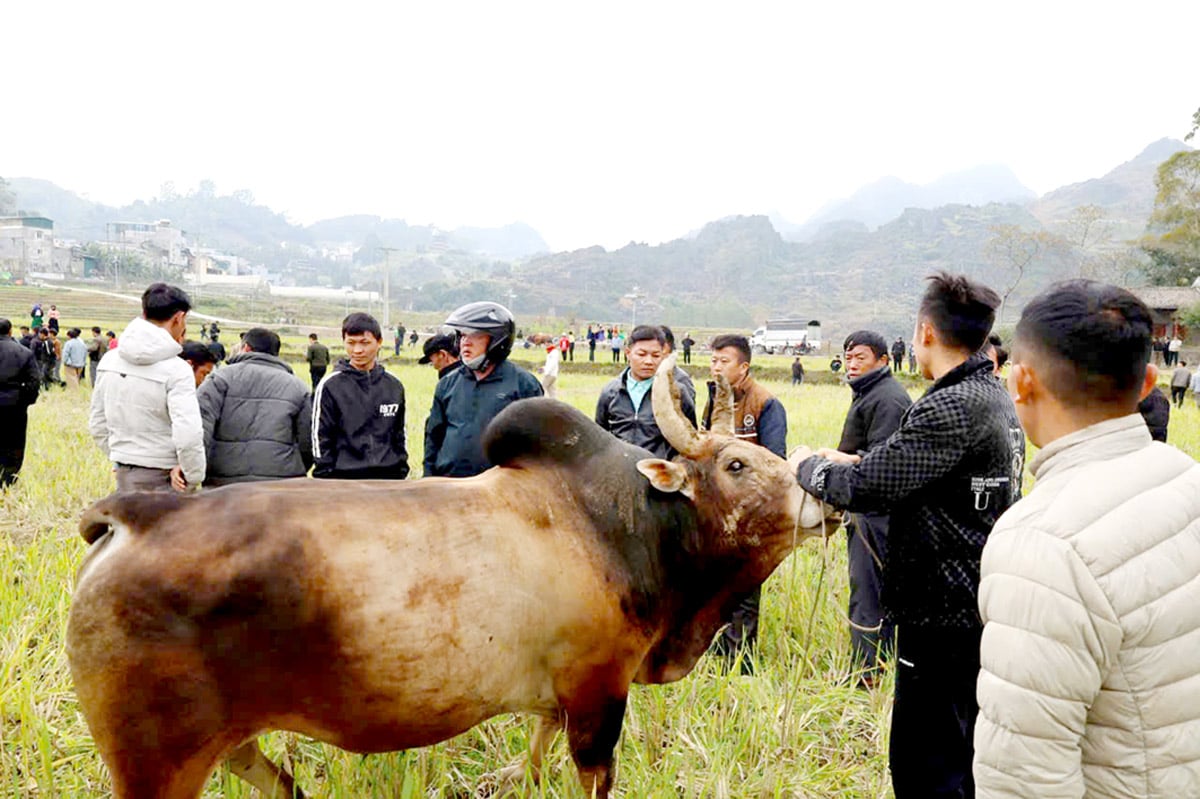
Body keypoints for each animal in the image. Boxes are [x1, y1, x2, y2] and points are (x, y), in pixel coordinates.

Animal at [65, 355, 835, 796]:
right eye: (736, 464)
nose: (821, 495)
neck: (623, 525)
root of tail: (132, 516)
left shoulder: (558, 696)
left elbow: (535, 752)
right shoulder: (599, 693)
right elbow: (593, 776)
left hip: (226, 741)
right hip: (155, 765)